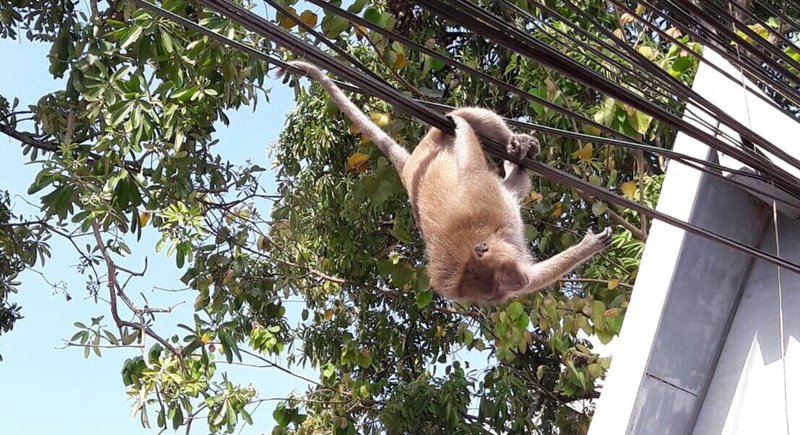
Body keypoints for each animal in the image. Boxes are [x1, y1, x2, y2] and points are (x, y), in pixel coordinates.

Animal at [282, 61, 612, 304]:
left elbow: (471, 166)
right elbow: (538, 276)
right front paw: (589, 246)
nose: (517, 283)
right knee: (514, 186)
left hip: (435, 137)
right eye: (497, 290)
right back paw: (514, 164)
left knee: (470, 117)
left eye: (502, 280)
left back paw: (509, 141)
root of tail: (411, 167)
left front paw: (464, 129)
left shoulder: (484, 201)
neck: (486, 238)